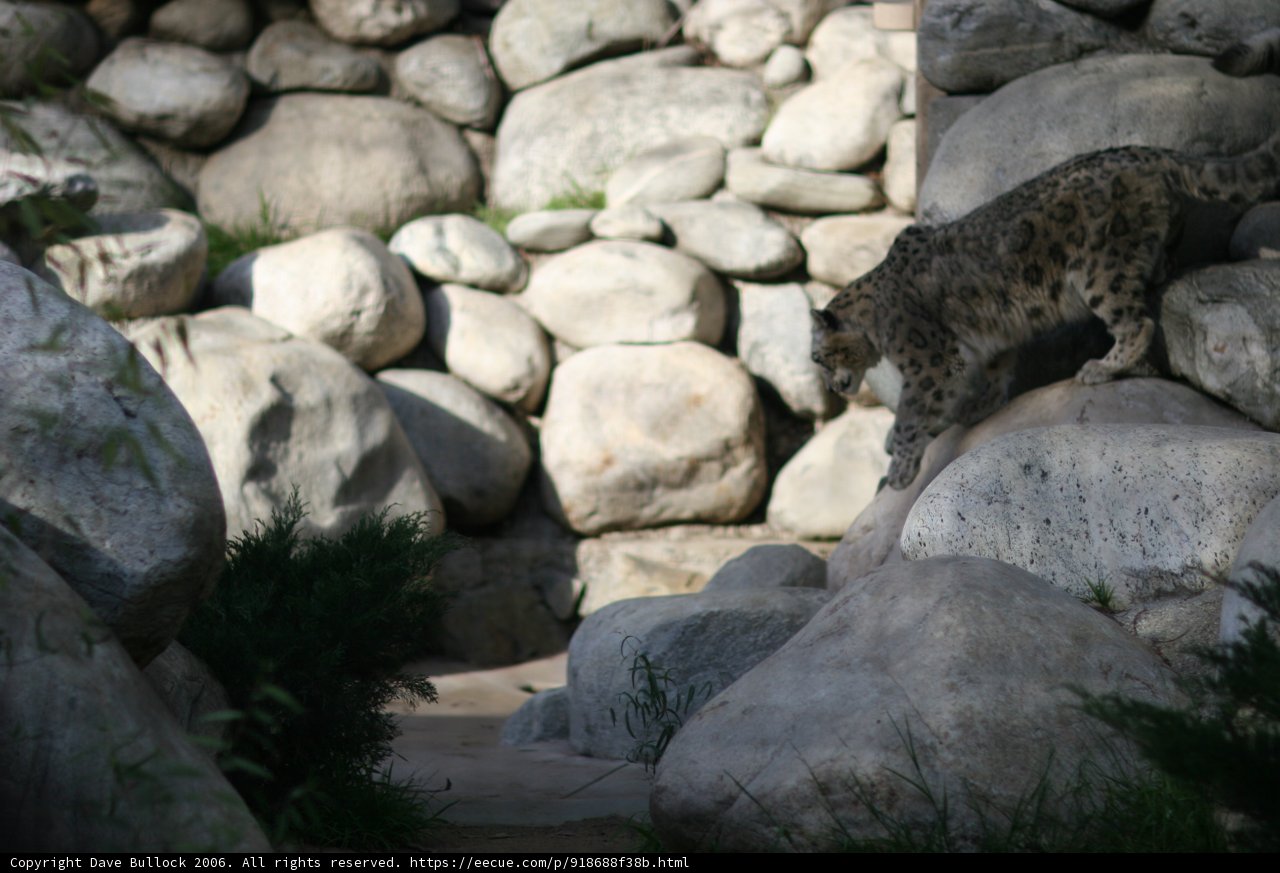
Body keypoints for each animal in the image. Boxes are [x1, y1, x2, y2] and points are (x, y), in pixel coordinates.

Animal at [811, 49, 1280, 491]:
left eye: (818, 356)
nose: (835, 387)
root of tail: (1143, 151)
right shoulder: (992, 340)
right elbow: (997, 369)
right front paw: (982, 407)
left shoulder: (928, 360)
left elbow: (911, 414)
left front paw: (900, 470)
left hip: (1100, 271)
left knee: (1137, 321)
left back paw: (1100, 368)